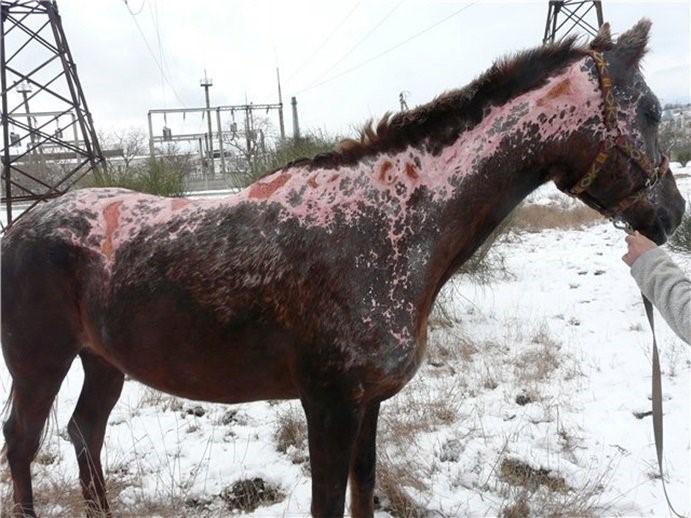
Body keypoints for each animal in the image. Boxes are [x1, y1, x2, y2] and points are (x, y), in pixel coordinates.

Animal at [1, 19, 685, 517]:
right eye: (652, 110)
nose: (674, 215)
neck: (386, 224)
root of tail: (20, 225)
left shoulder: (369, 403)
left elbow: (362, 495)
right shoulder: (329, 404)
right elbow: (329, 505)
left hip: (103, 362)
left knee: (85, 433)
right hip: (41, 363)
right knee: (23, 440)